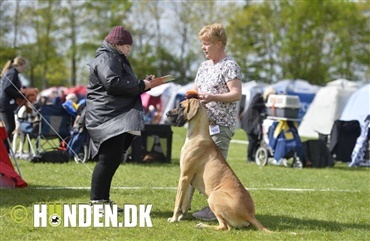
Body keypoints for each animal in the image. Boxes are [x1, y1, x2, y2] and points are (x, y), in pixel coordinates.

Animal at [166, 97, 270, 232]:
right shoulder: (189, 179)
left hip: (214, 196)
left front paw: (173, 218)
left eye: (180, 106)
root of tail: (249, 214)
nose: (167, 114)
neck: (197, 135)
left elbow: (178, 201)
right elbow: (185, 201)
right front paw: (180, 216)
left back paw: (202, 225)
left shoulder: (184, 176)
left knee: (225, 227)